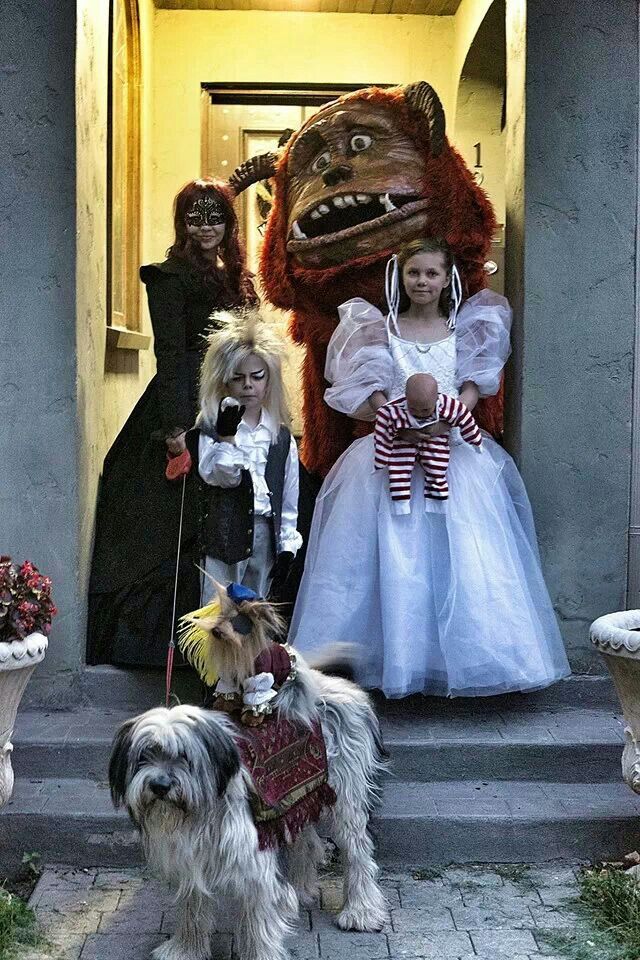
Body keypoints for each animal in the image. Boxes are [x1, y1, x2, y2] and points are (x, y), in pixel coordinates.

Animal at [109, 608, 388, 960]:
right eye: (145, 755)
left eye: (183, 756)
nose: (160, 786)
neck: (205, 812)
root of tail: (329, 685)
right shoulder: (190, 859)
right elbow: (192, 907)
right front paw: (186, 949)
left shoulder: (252, 862)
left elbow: (257, 919)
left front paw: (261, 951)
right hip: (298, 798)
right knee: (308, 843)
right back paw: (299, 892)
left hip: (345, 796)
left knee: (358, 850)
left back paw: (360, 910)